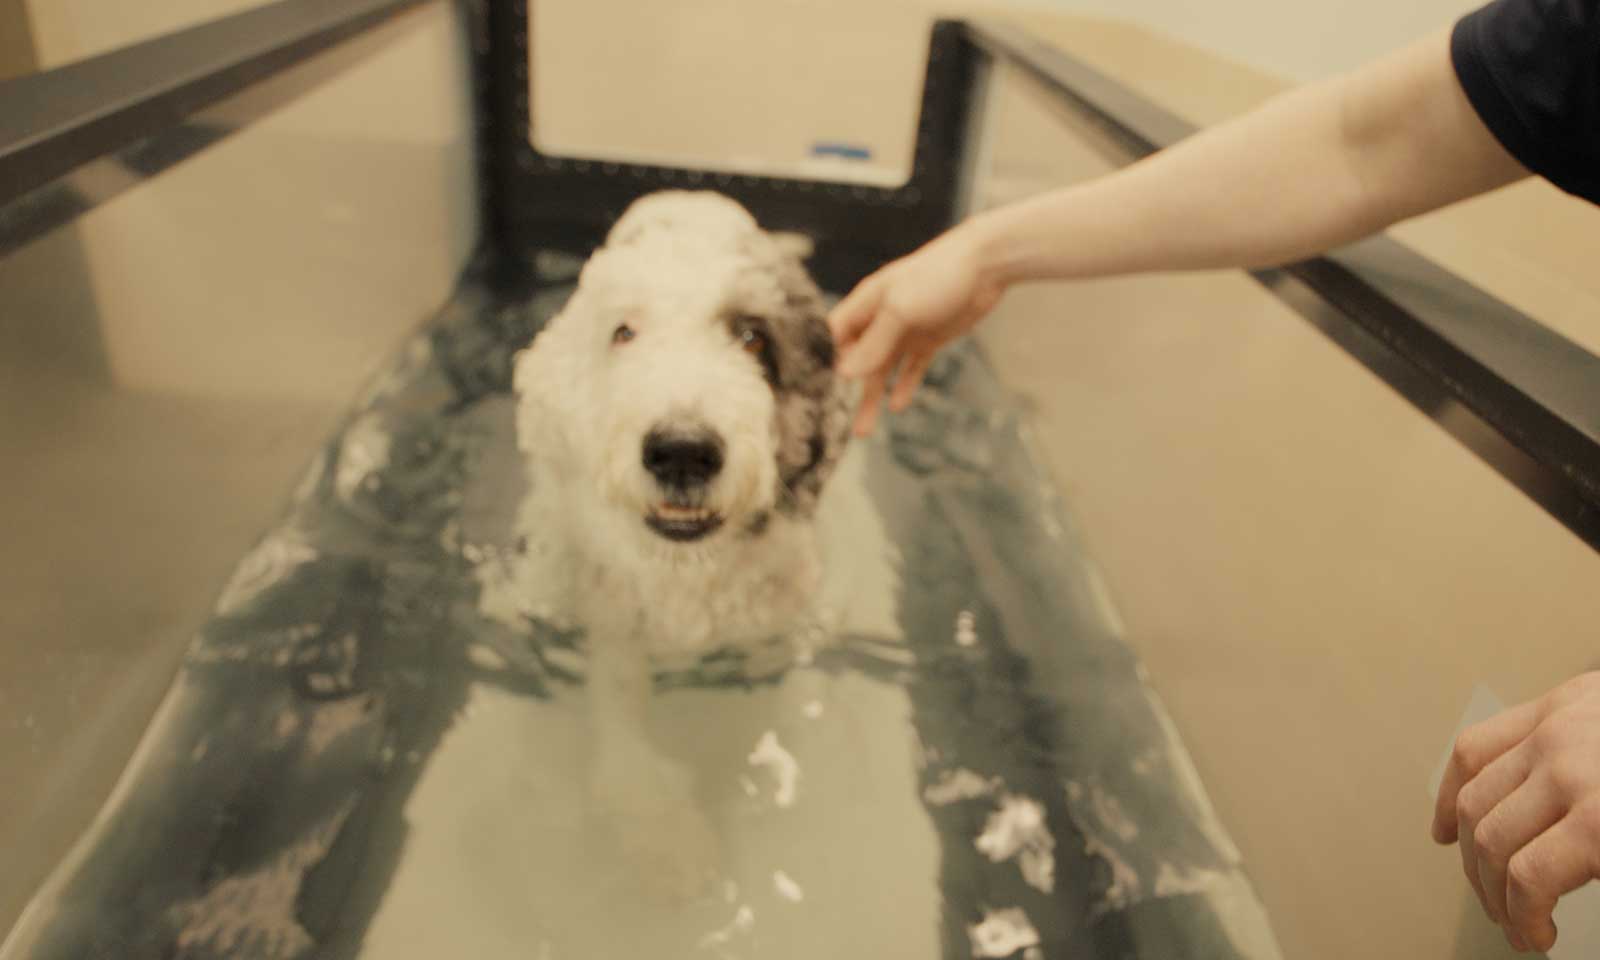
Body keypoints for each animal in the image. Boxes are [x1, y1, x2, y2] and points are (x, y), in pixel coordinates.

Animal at [512, 191, 864, 896]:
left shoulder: (766, 638)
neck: (687, 573)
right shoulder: (614, 629)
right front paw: (667, 842)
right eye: (623, 332)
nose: (682, 449)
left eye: (752, 336)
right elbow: (625, 734)